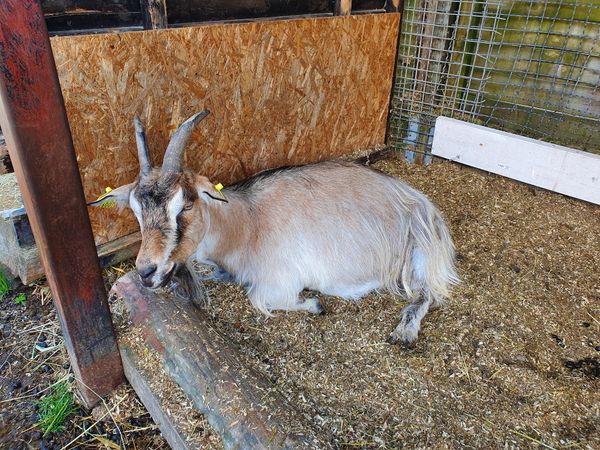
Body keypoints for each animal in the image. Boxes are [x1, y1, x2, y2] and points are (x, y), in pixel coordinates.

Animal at [92, 110, 460, 342]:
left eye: (186, 204)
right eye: (136, 212)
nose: (146, 272)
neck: (246, 223)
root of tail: (420, 201)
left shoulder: (282, 277)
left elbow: (260, 295)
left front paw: (314, 304)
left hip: (418, 255)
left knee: (427, 293)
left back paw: (405, 332)